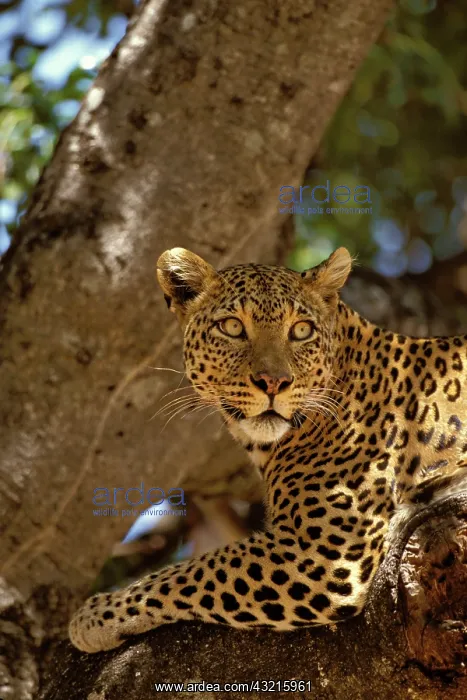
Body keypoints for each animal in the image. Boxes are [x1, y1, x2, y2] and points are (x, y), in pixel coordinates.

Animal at [69, 246, 467, 653]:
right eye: (232, 327)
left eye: (301, 330)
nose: (273, 382)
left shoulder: (325, 551)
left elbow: (196, 571)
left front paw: (95, 615)